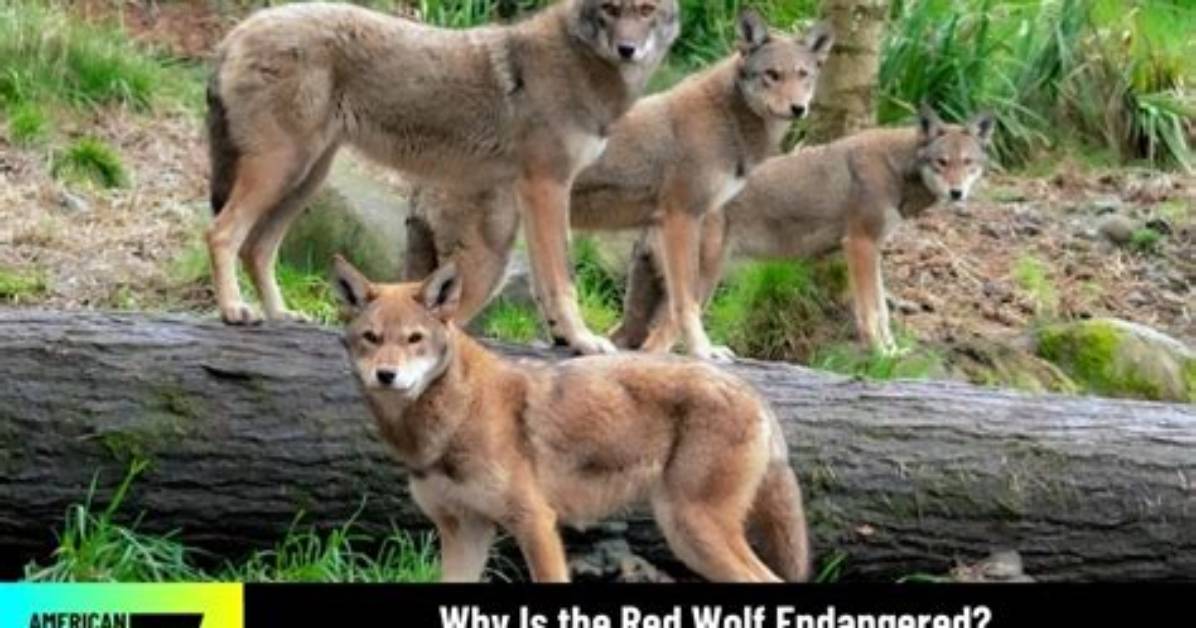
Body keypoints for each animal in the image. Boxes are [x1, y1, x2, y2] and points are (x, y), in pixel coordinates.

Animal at [205, 0, 678, 355]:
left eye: (646, 9)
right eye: (611, 8)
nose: (627, 49)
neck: (581, 65)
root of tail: (239, 30)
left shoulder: (536, 194)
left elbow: (547, 279)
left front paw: (564, 339)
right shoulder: (547, 185)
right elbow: (563, 279)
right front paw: (583, 341)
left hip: (306, 178)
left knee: (257, 248)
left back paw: (279, 315)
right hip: (282, 170)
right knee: (222, 233)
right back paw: (234, 310)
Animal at [334, 256, 810, 582]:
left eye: (414, 339)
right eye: (371, 338)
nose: (386, 375)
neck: (452, 417)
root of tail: (753, 392)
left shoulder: (536, 522)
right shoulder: (464, 531)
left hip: (692, 530)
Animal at [404, 12, 833, 360]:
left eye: (803, 75)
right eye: (772, 75)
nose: (798, 109)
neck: (728, 119)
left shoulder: (661, 234)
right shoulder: (682, 220)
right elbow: (685, 305)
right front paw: (703, 352)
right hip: (486, 268)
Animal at [614, 104, 995, 354]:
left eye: (968, 163)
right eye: (942, 162)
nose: (957, 193)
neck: (896, 168)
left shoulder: (874, 248)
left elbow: (884, 311)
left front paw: (893, 353)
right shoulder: (859, 244)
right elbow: (870, 312)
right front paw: (878, 353)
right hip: (703, 284)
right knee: (656, 345)